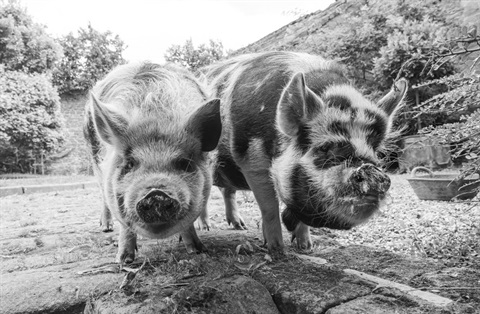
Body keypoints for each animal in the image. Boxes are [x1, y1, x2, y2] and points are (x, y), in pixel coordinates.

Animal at [84, 61, 221, 262]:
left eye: (184, 163)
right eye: (130, 163)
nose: (156, 193)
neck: (155, 113)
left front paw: (198, 250)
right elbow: (125, 224)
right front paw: (123, 260)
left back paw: (206, 227)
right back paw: (105, 227)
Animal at [204, 50, 406, 254]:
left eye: (375, 152)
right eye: (324, 147)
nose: (372, 173)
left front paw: (306, 247)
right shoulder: (250, 160)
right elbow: (269, 207)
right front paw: (276, 249)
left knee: (226, 190)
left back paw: (239, 226)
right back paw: (205, 228)